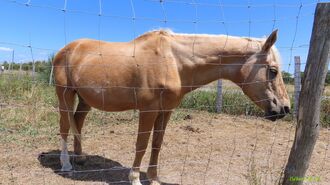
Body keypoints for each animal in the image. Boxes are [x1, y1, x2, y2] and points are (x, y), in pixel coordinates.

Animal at [52, 28, 290, 185]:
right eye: (273, 71)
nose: (285, 109)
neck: (173, 60)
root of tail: (66, 49)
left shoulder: (165, 111)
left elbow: (157, 144)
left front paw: (154, 178)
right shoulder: (148, 110)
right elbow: (142, 144)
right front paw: (135, 178)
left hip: (85, 99)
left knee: (78, 122)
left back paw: (80, 157)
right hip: (65, 96)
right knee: (64, 126)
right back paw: (66, 165)